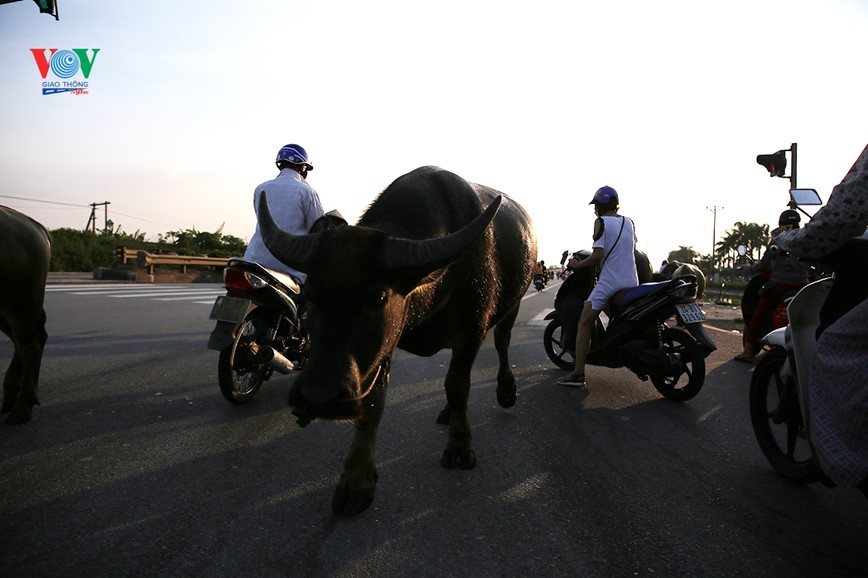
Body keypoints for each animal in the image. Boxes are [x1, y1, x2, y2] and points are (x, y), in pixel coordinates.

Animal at [258, 165, 536, 512]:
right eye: (309, 295)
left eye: (378, 297)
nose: (317, 397)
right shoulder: (383, 348)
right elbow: (374, 402)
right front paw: (356, 480)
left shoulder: (472, 330)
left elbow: (458, 385)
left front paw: (460, 446)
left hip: (512, 306)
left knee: (501, 342)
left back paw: (506, 390)